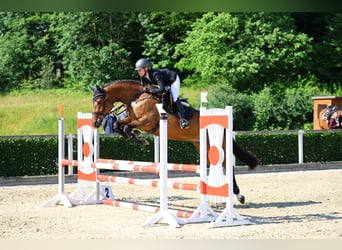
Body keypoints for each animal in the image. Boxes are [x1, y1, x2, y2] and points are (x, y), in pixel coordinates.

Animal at [89, 79, 258, 203]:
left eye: (100, 102)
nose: (95, 123)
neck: (137, 99)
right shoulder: (132, 119)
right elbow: (118, 125)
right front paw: (137, 138)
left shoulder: (146, 122)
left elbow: (126, 126)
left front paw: (137, 137)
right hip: (201, 145)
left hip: (216, 143)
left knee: (227, 165)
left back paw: (239, 195)